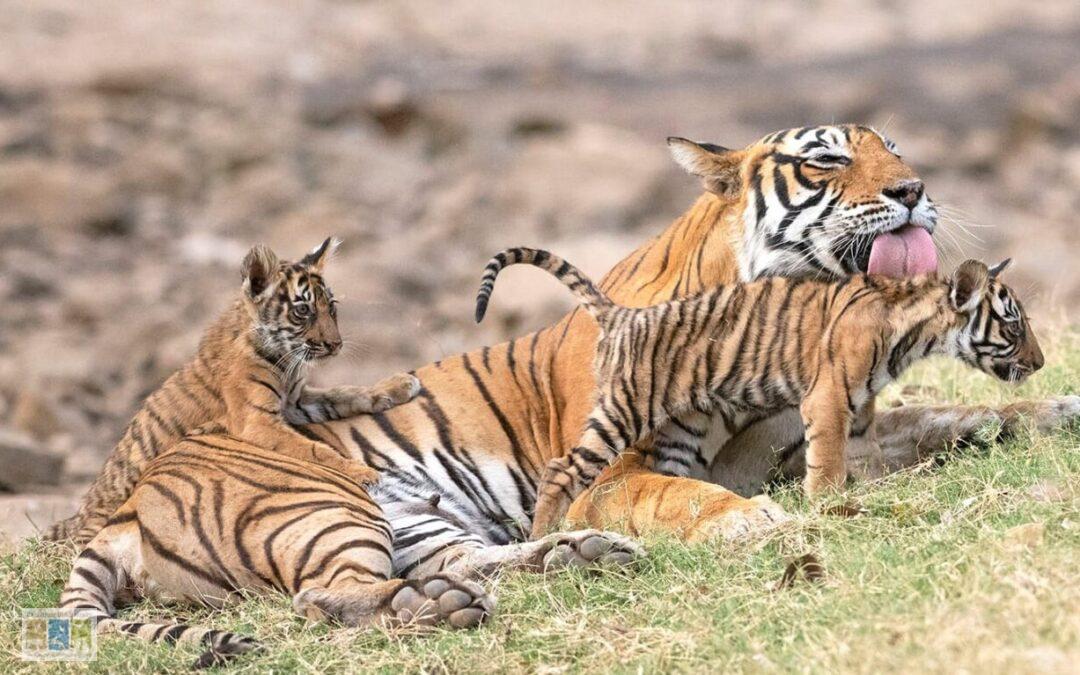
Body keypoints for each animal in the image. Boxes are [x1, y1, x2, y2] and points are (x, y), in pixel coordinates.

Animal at [46, 237, 422, 547]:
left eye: (333, 308)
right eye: (303, 310)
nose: (335, 345)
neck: (284, 360)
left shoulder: (296, 400)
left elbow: (345, 392)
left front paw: (398, 385)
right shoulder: (259, 422)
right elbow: (316, 450)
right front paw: (361, 471)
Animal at [473, 248, 1044, 537]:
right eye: (1014, 325)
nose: (1041, 363)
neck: (914, 329)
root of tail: (622, 314)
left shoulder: (858, 409)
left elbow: (869, 456)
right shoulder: (827, 397)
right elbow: (827, 462)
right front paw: (827, 507)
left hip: (677, 430)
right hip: (624, 410)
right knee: (560, 469)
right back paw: (543, 537)